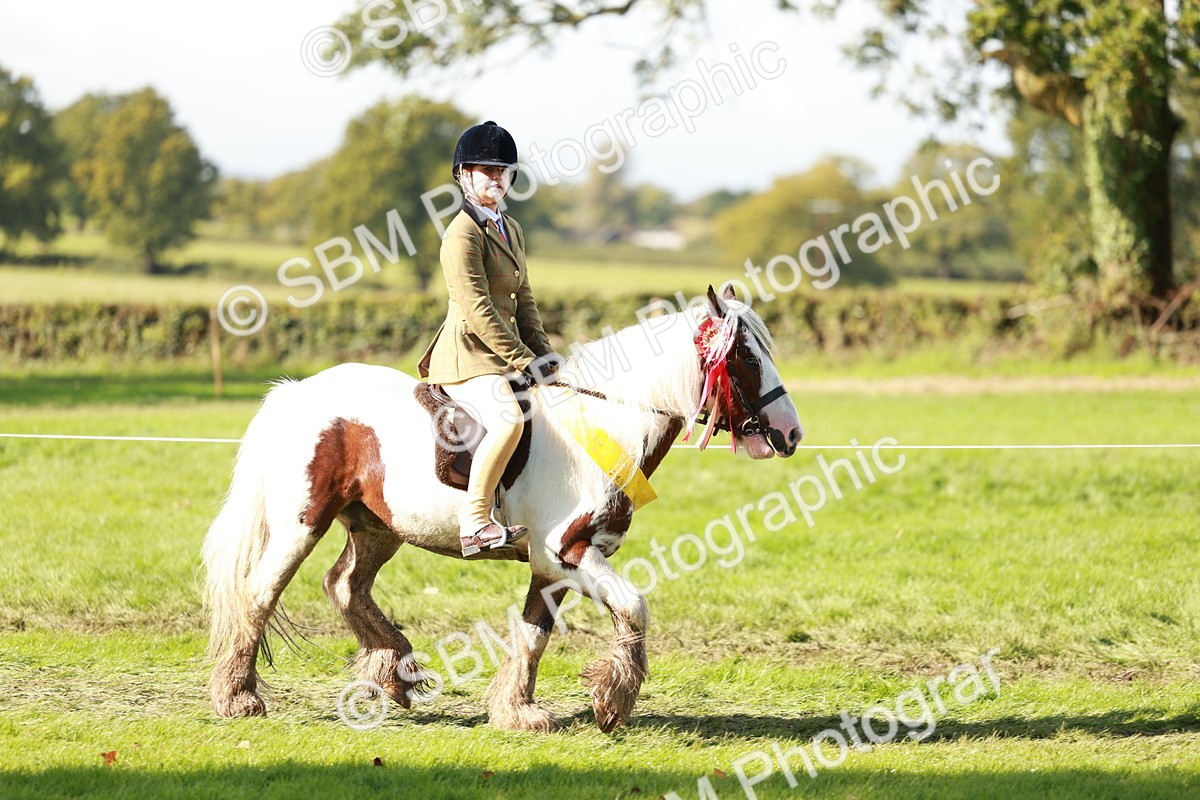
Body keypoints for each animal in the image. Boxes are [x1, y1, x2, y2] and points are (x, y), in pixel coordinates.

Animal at [202, 284, 804, 733]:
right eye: (746, 356)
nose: (791, 433)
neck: (604, 423)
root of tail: (296, 393)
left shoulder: (553, 566)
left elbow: (535, 634)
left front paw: (520, 711)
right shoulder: (567, 552)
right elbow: (634, 607)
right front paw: (612, 701)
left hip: (378, 527)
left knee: (345, 585)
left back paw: (393, 671)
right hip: (300, 524)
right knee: (260, 593)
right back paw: (238, 698)